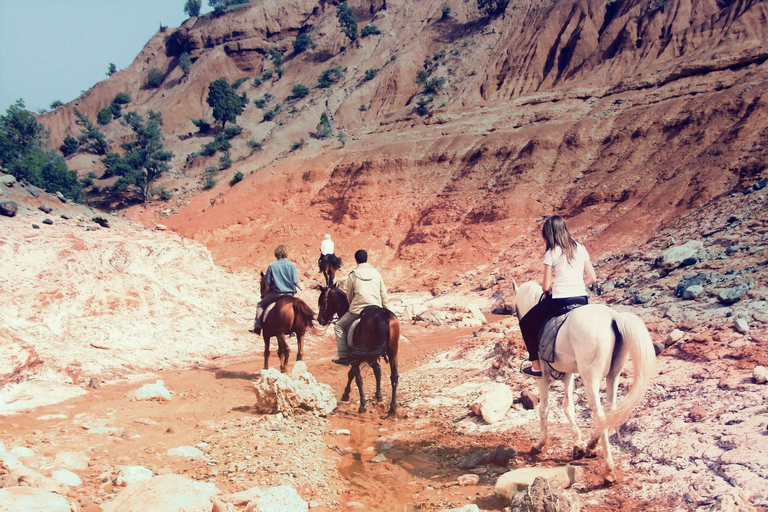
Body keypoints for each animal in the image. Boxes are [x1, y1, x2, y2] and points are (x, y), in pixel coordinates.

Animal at [318, 286, 402, 418]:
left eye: (322, 302)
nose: (320, 320)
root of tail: (383, 315)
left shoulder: (355, 357)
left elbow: (355, 377)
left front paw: (358, 402)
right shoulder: (367, 357)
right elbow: (374, 372)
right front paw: (378, 396)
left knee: (362, 377)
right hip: (391, 352)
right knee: (393, 376)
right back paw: (392, 408)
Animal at [516, 282, 656, 482]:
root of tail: (614, 317)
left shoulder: (543, 376)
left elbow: (544, 409)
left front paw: (539, 444)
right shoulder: (568, 373)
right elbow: (568, 407)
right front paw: (578, 445)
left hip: (591, 378)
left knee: (600, 415)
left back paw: (608, 470)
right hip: (613, 375)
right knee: (610, 410)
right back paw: (591, 445)